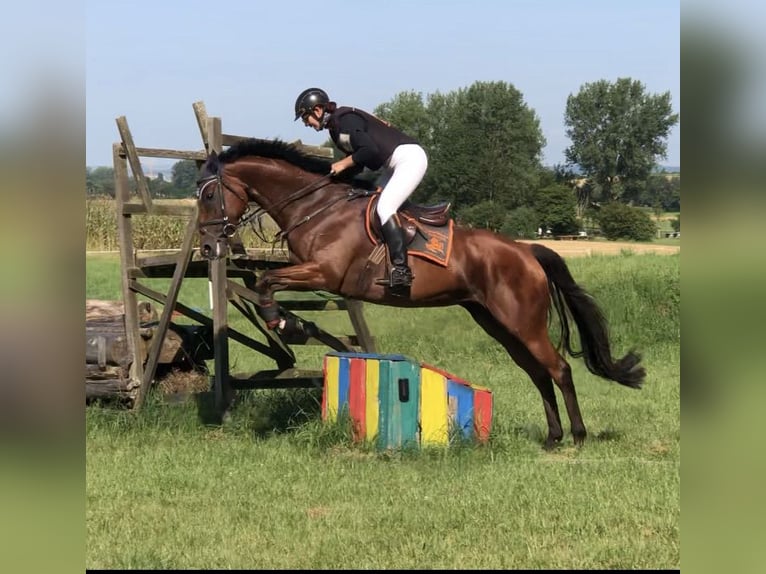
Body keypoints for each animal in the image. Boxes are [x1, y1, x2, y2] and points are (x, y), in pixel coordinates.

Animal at [195, 138, 644, 450]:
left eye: (209, 194)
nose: (208, 246)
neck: (317, 207)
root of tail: (526, 251)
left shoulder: (324, 273)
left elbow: (266, 283)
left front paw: (285, 324)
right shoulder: (314, 275)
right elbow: (265, 283)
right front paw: (291, 324)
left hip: (523, 321)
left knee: (559, 369)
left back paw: (578, 435)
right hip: (497, 323)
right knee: (537, 372)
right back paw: (553, 436)